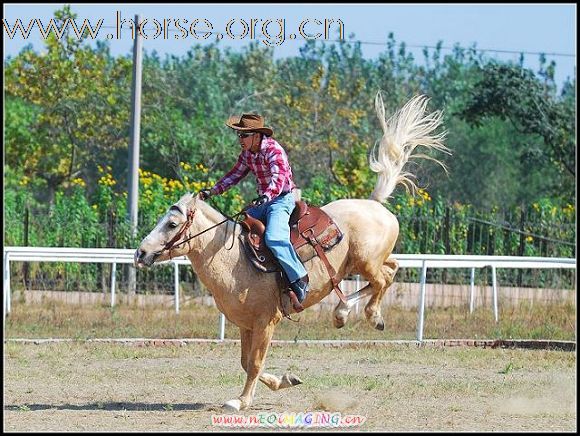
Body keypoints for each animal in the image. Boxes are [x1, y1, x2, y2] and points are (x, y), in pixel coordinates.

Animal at [135, 93, 448, 412]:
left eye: (172, 224)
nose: (140, 254)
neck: (233, 259)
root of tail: (374, 203)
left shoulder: (265, 322)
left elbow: (255, 363)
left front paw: (241, 401)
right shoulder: (246, 325)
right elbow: (247, 362)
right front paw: (285, 380)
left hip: (366, 262)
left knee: (382, 279)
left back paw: (369, 316)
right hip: (360, 264)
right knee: (389, 271)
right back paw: (343, 313)